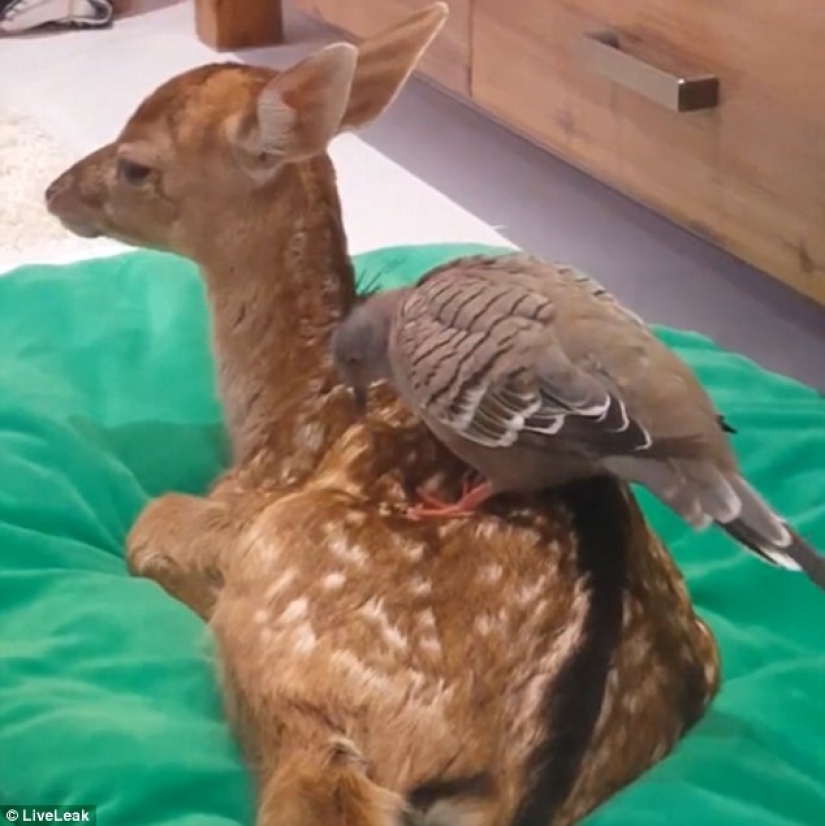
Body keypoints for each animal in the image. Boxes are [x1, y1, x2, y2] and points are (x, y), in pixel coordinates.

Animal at [44, 4, 719, 825]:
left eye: (137, 164)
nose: (52, 192)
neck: (290, 405)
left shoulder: (245, 506)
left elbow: (150, 527)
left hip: (293, 579)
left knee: (318, 787)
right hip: (705, 647)